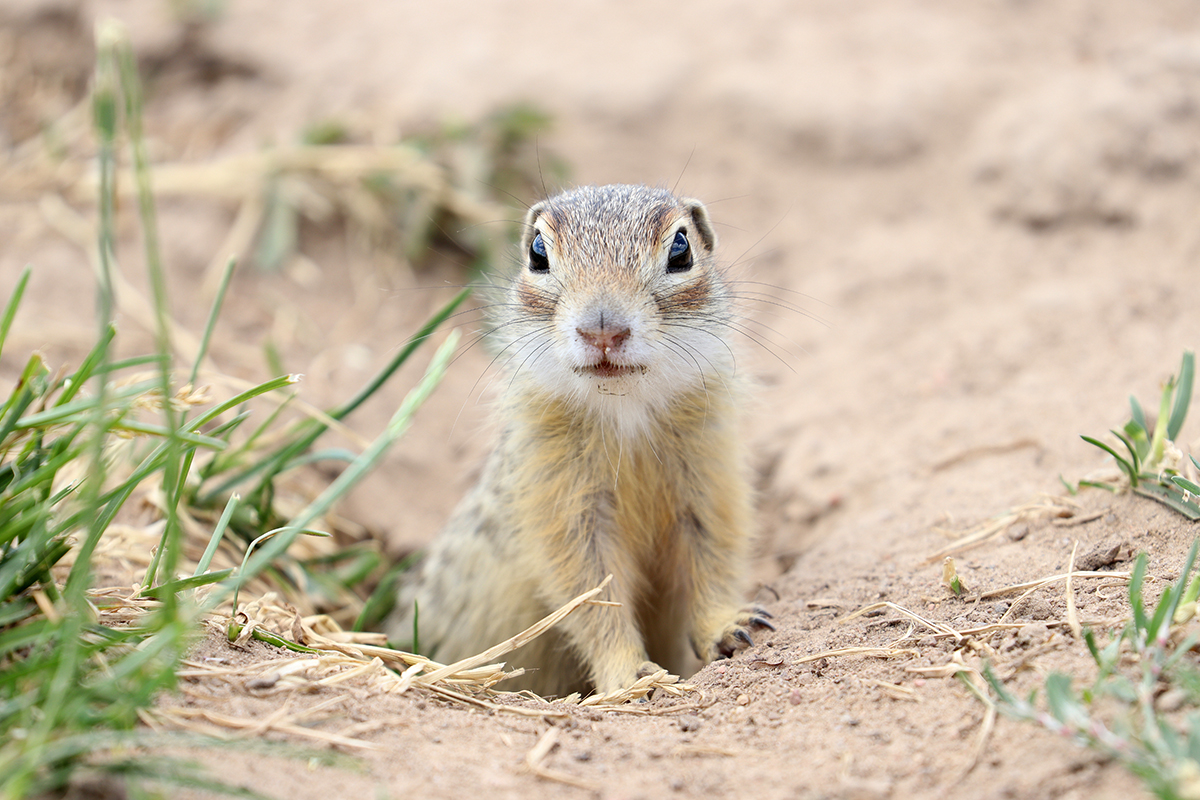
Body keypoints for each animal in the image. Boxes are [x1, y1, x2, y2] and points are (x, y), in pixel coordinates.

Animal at [388, 184, 772, 695]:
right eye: (537, 252)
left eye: (681, 249)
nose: (602, 329)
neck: (624, 408)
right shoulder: (560, 502)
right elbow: (590, 595)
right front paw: (628, 675)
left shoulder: (710, 477)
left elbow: (713, 560)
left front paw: (728, 625)